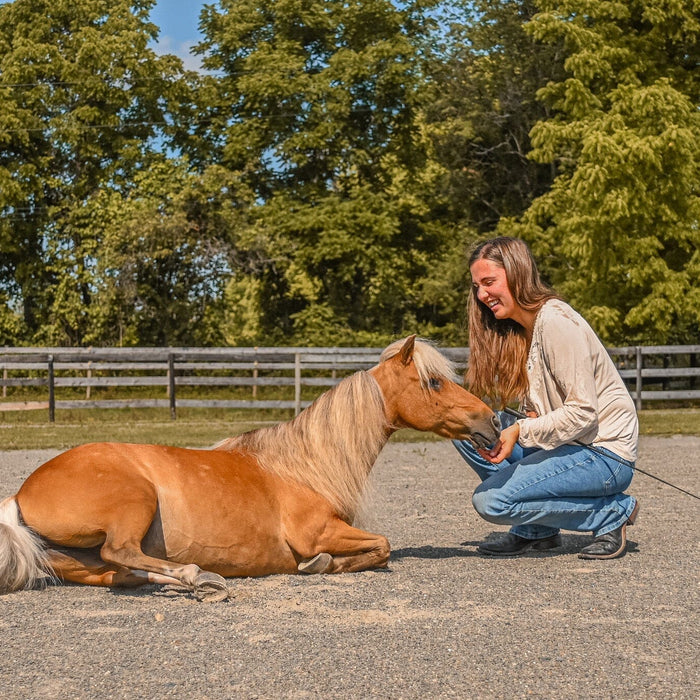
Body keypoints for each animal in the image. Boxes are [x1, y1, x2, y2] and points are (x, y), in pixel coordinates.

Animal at [0, 335, 500, 601]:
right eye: (433, 382)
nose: (491, 421)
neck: (306, 464)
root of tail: (20, 496)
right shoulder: (317, 532)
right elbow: (382, 546)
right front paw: (322, 565)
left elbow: (379, 548)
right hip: (134, 501)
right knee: (121, 552)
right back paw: (196, 576)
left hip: (83, 561)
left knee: (118, 572)